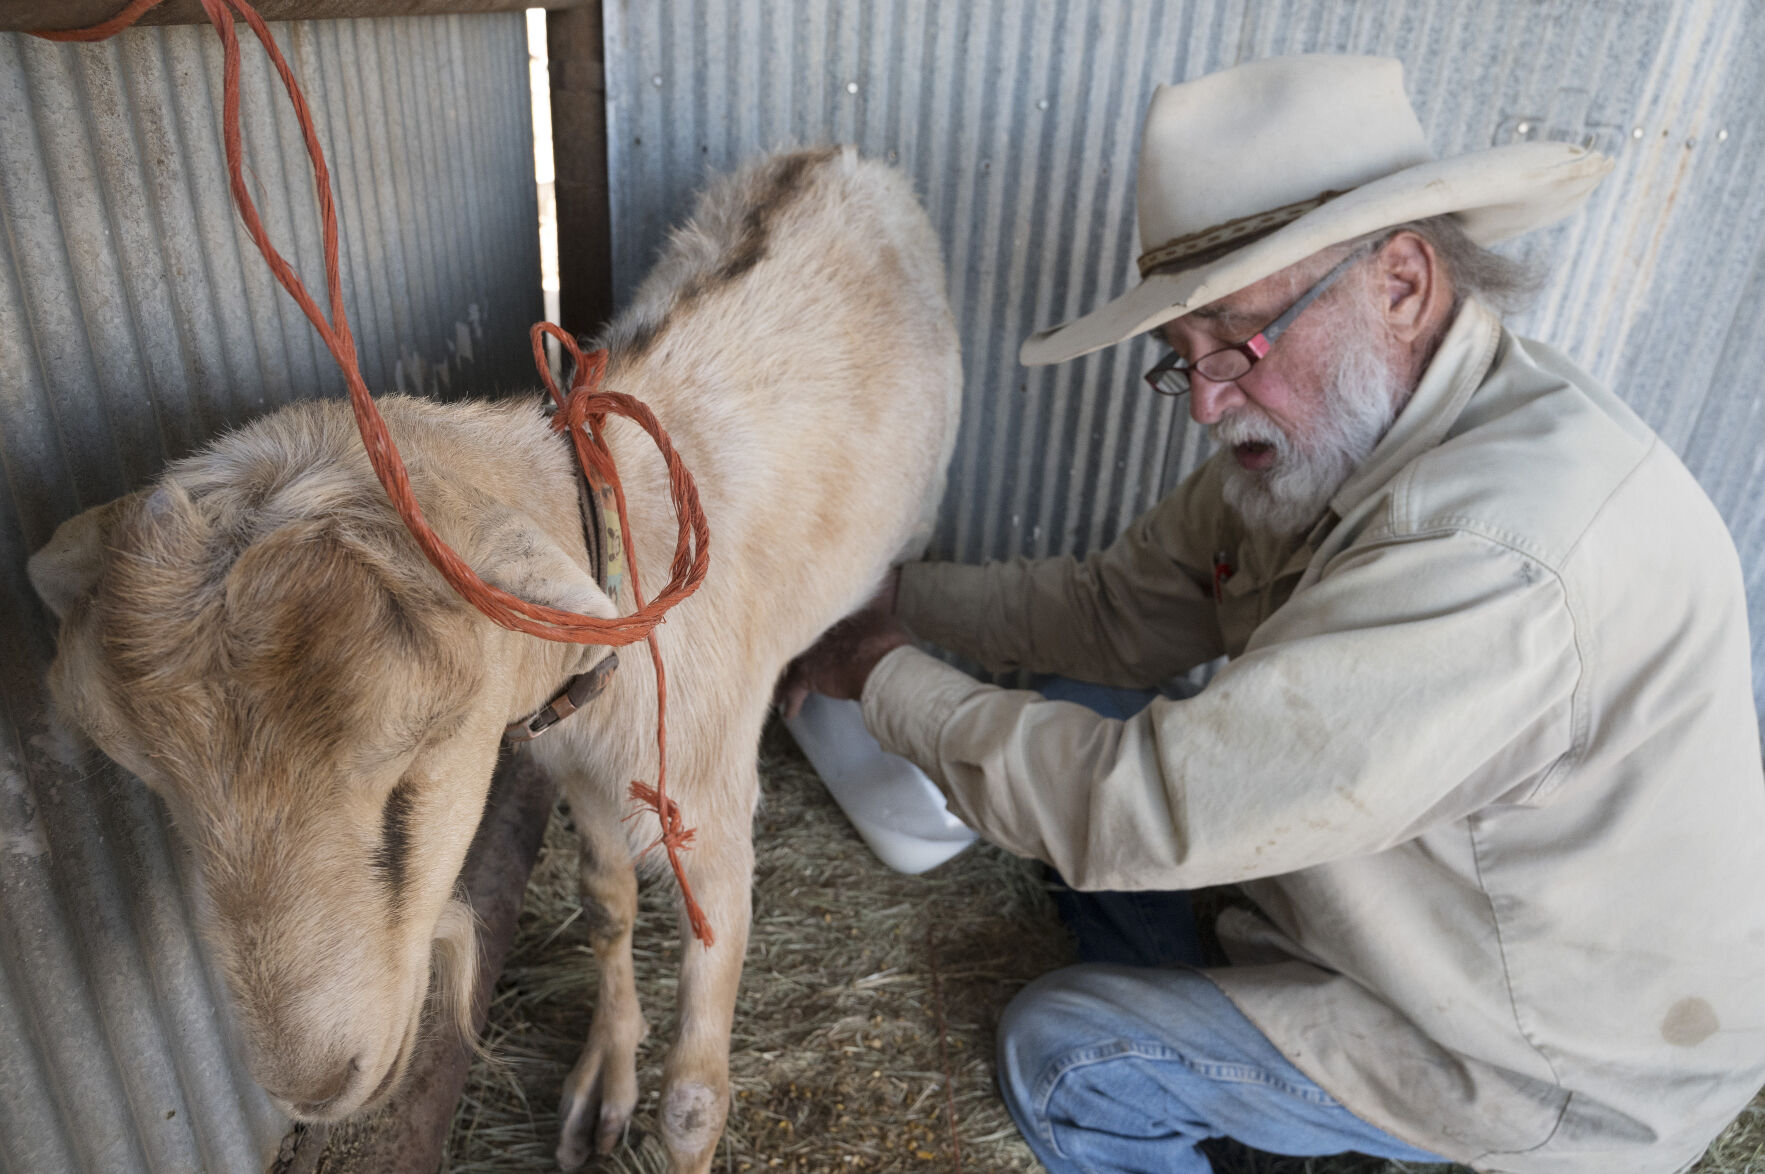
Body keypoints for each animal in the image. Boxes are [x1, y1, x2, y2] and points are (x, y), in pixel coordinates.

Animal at [27, 146, 961, 1173]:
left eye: (409, 780)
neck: (618, 525)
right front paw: (602, 1084)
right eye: (160, 790)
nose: (315, 1088)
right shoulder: (579, 765)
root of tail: (836, 157)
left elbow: (693, 1098)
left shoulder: (708, 810)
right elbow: (604, 903)